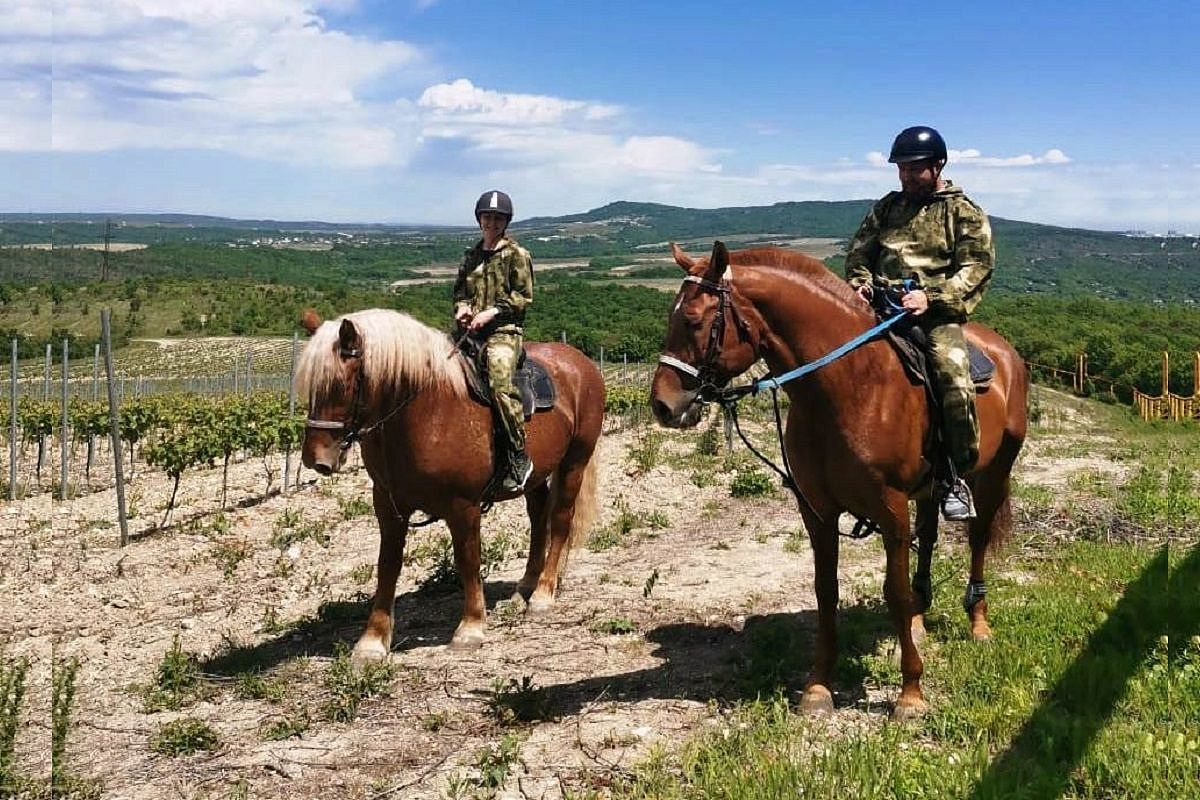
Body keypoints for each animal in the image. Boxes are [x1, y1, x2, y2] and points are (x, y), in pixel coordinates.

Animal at [296, 309, 604, 662]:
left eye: (341, 384)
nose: (315, 459)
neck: (427, 410)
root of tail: (581, 363)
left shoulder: (463, 506)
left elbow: (467, 560)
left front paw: (470, 628)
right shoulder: (388, 505)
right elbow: (387, 567)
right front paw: (372, 641)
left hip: (575, 461)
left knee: (561, 520)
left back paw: (543, 593)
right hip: (537, 474)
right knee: (539, 520)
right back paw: (526, 585)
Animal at [652, 241, 1027, 714]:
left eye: (694, 320)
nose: (662, 405)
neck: (848, 386)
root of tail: (1005, 352)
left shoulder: (891, 510)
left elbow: (894, 593)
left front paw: (910, 693)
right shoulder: (818, 511)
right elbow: (825, 591)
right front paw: (818, 687)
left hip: (993, 473)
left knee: (977, 539)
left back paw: (978, 624)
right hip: (930, 489)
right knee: (929, 537)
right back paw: (920, 620)